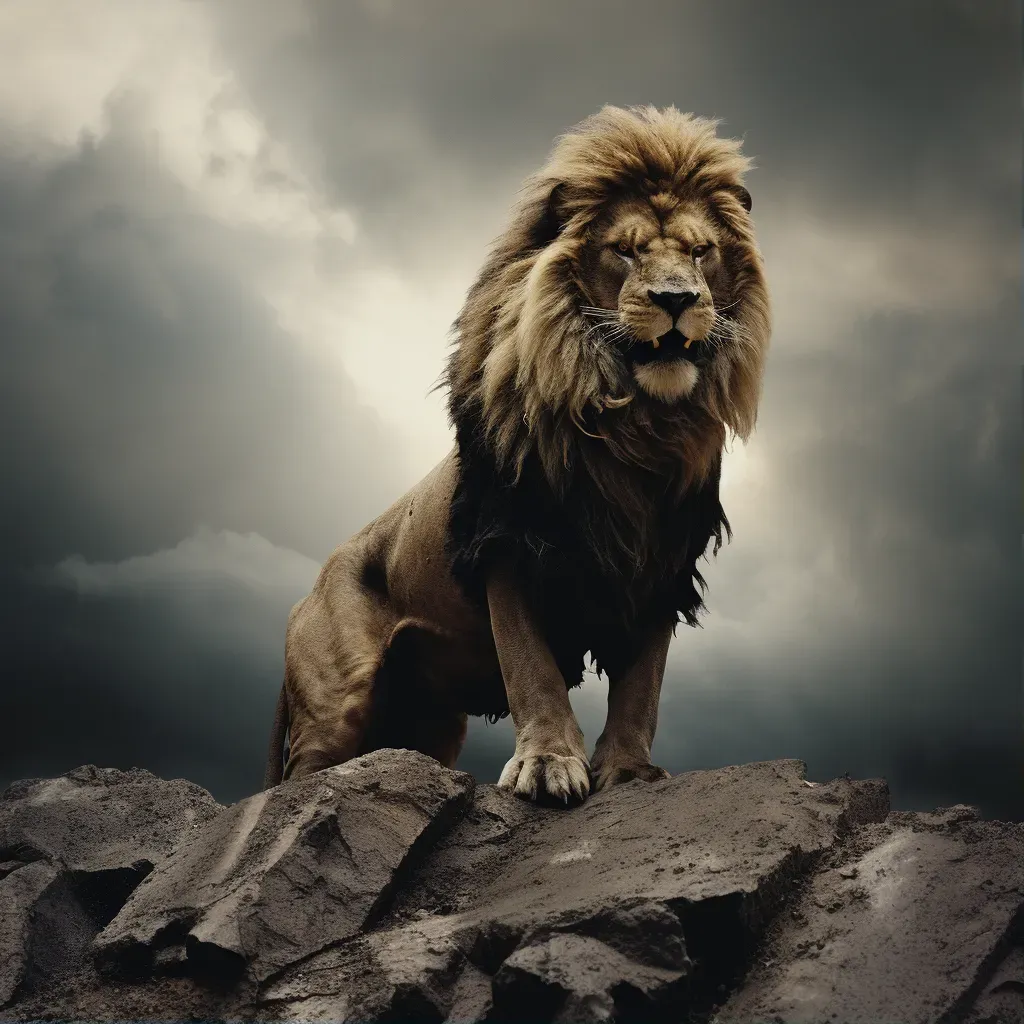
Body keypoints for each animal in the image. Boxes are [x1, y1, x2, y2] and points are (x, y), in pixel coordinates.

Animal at [264, 105, 770, 806]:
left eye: (700, 252)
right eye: (624, 250)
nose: (677, 300)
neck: (634, 429)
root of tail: (307, 591)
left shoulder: (659, 564)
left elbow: (642, 686)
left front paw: (628, 772)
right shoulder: (508, 542)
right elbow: (531, 667)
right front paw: (549, 764)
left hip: (428, 723)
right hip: (334, 706)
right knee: (296, 780)